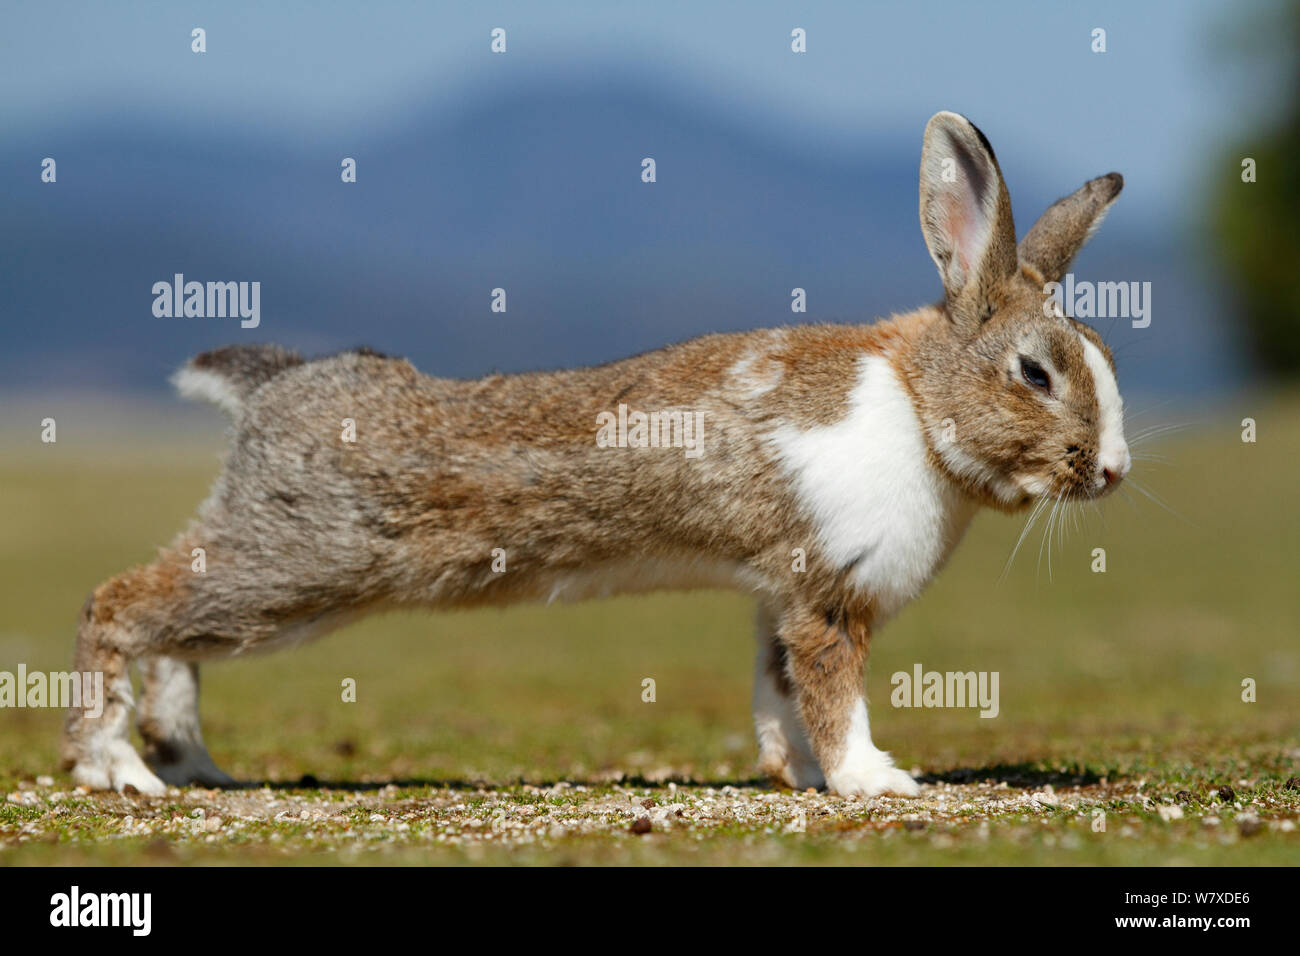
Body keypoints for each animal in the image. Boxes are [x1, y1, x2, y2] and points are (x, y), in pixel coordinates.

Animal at [62, 111, 1129, 797]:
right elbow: (834, 695)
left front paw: (798, 777)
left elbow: (779, 696)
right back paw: (119, 770)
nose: (1112, 471)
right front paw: (878, 782)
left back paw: (187, 762)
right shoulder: (827, 595)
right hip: (300, 566)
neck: (916, 405)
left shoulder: (778, 597)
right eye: (1036, 372)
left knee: (169, 630)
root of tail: (271, 386)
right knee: (118, 605)